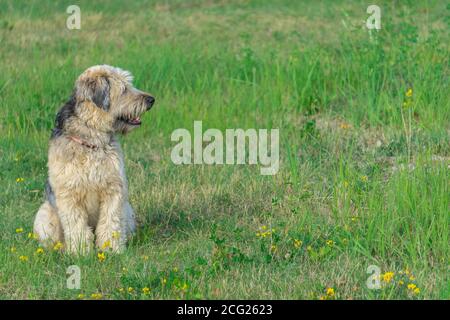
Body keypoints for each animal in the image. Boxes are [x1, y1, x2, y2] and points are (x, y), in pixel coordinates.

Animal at [33, 65, 155, 255]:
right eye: (124, 89)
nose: (151, 100)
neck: (93, 140)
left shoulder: (114, 190)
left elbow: (110, 222)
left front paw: (111, 249)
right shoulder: (69, 195)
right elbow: (77, 227)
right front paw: (80, 253)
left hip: (128, 210)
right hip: (44, 216)